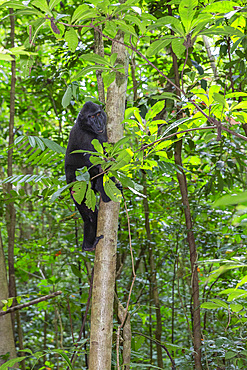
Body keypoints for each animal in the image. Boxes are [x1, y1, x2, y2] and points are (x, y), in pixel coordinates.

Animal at [65, 101, 112, 251]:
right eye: (91, 117)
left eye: (98, 114)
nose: (98, 123)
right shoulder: (85, 139)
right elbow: (98, 163)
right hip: (78, 188)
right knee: (90, 215)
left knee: (91, 216)